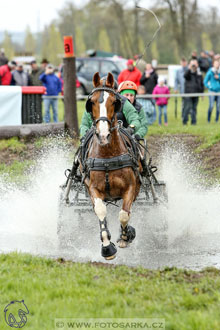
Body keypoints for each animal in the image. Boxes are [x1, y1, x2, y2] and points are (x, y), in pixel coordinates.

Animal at [82, 72, 141, 260]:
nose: (103, 135)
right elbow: (101, 211)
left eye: (115, 102)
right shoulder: (92, 188)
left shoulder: (131, 187)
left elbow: (124, 215)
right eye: (91, 102)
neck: (107, 156)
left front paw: (125, 236)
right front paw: (107, 247)